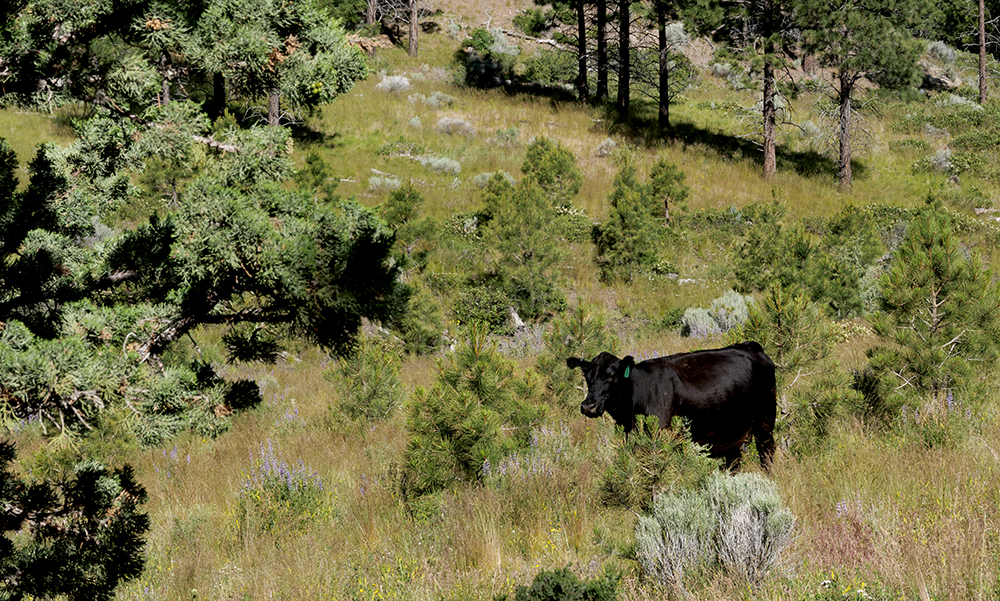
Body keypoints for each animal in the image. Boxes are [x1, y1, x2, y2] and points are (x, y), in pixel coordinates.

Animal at [567, 341, 777, 470]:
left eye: (611, 376)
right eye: (587, 377)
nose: (588, 406)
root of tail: (750, 347)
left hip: (765, 424)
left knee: (767, 455)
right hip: (733, 434)